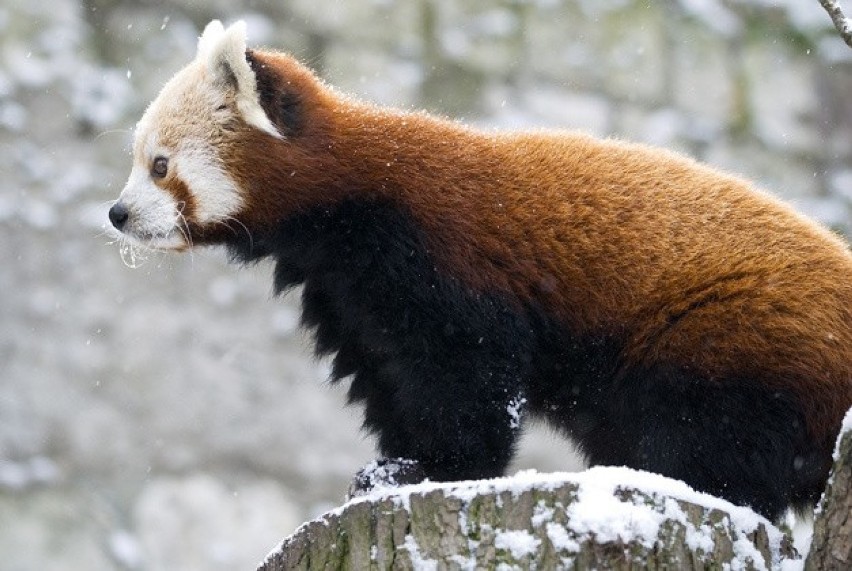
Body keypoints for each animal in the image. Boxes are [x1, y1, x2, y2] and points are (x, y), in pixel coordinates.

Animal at [108, 21, 852, 524]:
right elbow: (387, 378)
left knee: (699, 436)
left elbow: (468, 376)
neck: (343, 205)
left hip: (734, 339)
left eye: (160, 166)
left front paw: (437, 468)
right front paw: (392, 463)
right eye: (139, 162)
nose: (117, 213)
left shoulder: (435, 256)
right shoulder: (347, 294)